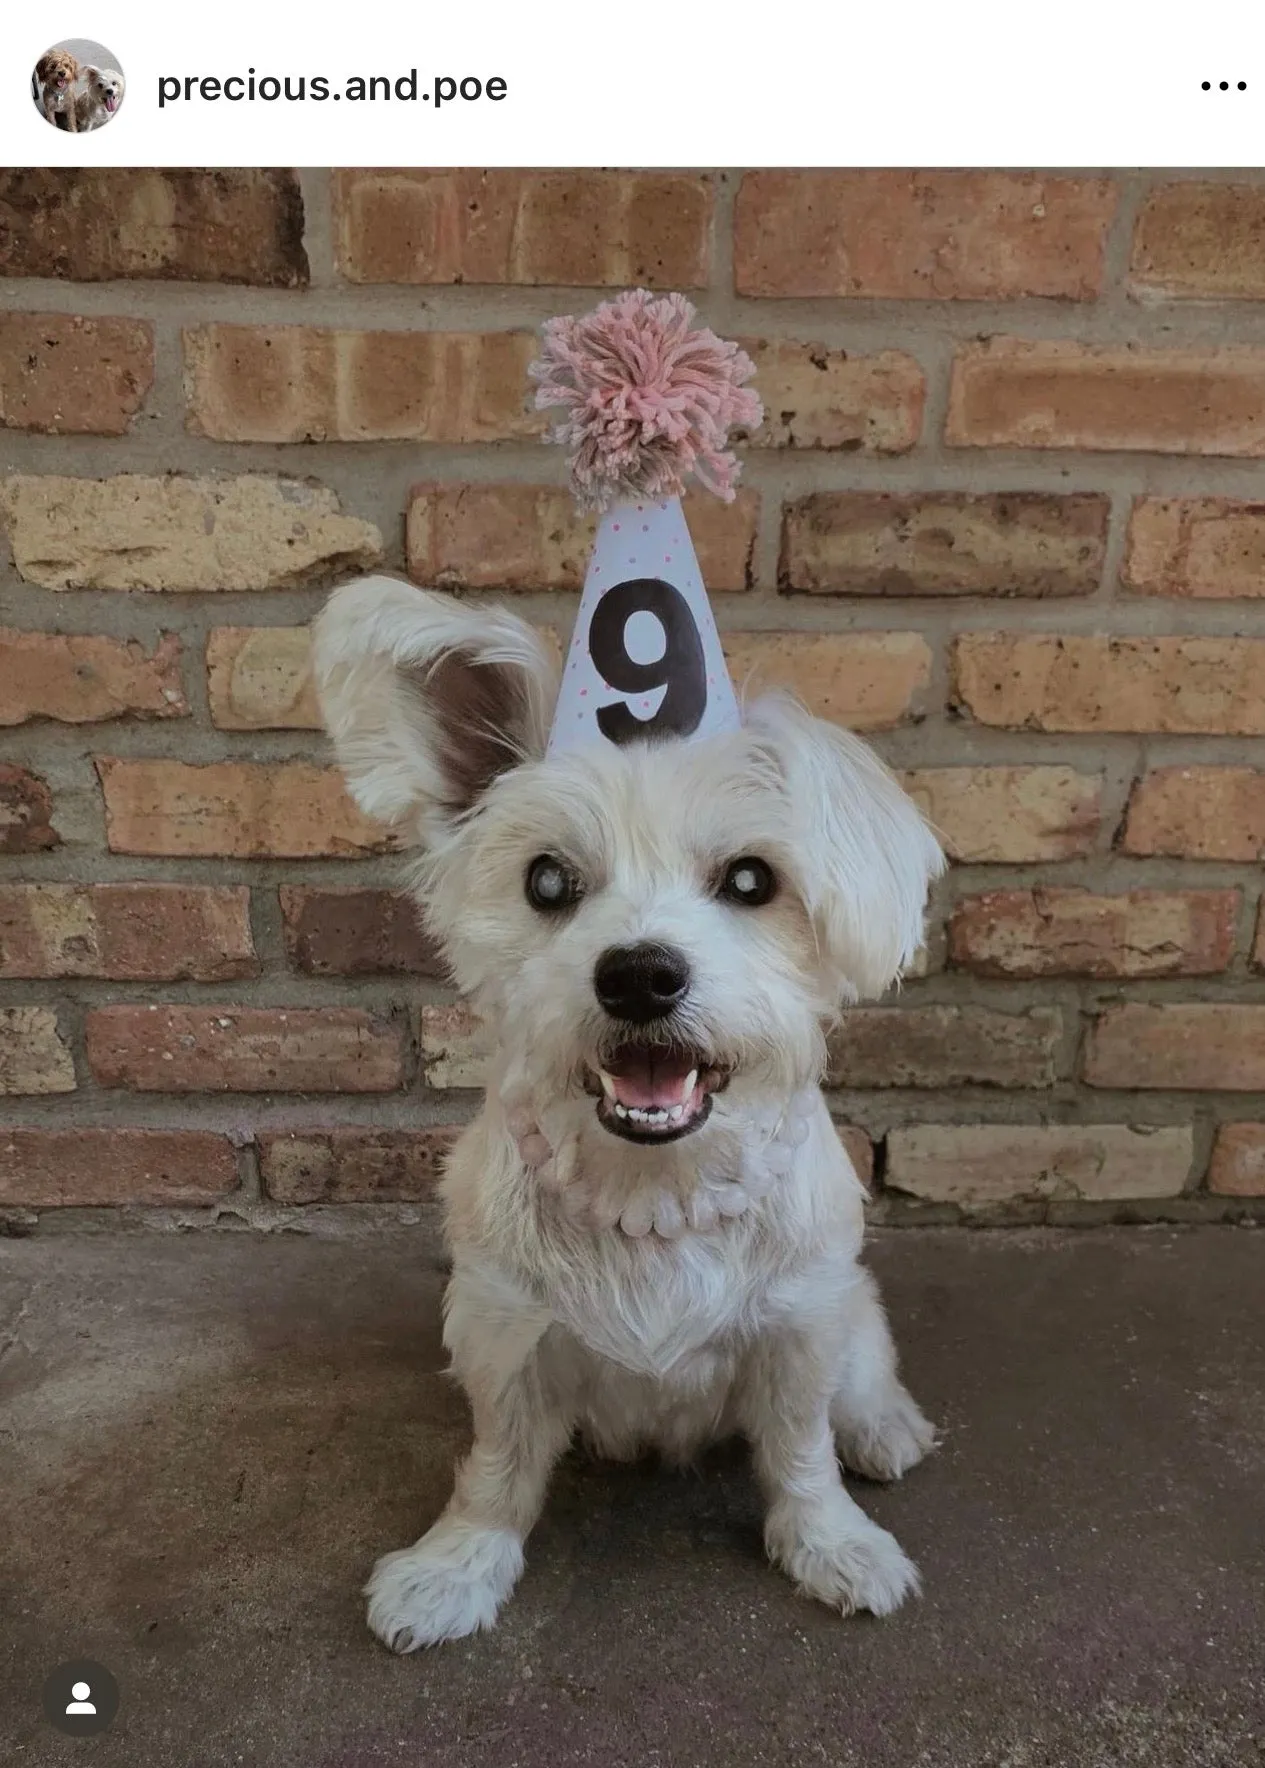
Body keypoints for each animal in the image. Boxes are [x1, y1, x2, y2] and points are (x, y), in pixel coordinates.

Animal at [316, 572, 948, 1647]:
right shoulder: (502, 1333)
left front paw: (832, 1545)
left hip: (849, 1309)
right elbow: (495, 1470)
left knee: (865, 1376)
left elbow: (801, 1454)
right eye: (546, 880)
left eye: (750, 879)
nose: (640, 976)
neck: (654, 1188)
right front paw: (455, 1568)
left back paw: (885, 1427)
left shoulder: (797, 1329)